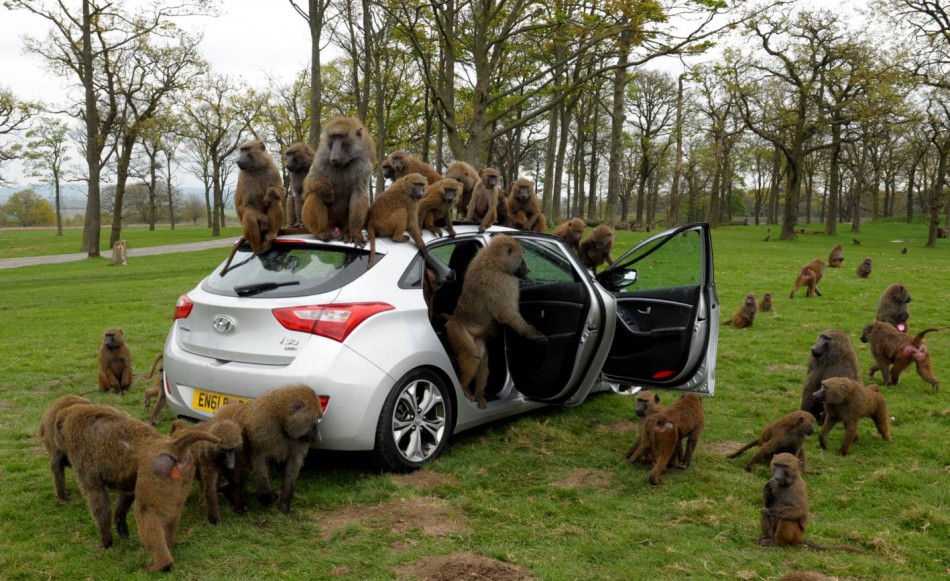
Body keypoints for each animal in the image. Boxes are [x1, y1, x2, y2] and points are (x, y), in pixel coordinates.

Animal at [53, 403, 219, 571]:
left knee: (145, 511)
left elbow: (99, 501)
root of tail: (171, 446)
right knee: (172, 514)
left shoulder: (82, 459)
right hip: (182, 477)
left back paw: (161, 564)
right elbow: (127, 491)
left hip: (155, 471)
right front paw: (120, 522)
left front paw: (106, 542)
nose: (61, 456)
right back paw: (170, 545)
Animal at [214, 384, 323, 514]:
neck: (281, 419)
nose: (319, 438)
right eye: (315, 421)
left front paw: (285, 503)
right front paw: (267, 497)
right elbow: (260, 459)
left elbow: (293, 464)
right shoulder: (263, 430)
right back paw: (238, 503)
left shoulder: (298, 439)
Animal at [302, 116, 375, 245]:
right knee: (315, 194)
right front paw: (327, 191)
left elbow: (359, 194)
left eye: (340, 137)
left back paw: (347, 233)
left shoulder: (363, 162)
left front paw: (355, 233)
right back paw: (321, 233)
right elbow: (310, 181)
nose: (334, 156)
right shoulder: (323, 155)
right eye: (334, 136)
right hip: (328, 223)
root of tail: (336, 230)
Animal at [443, 235, 546, 408]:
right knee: (473, 355)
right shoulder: (502, 282)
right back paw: (463, 388)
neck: (495, 262)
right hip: (455, 331)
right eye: (522, 258)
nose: (529, 269)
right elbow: (507, 313)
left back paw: (479, 395)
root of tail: (452, 319)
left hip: (475, 337)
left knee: (482, 359)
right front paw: (531, 334)